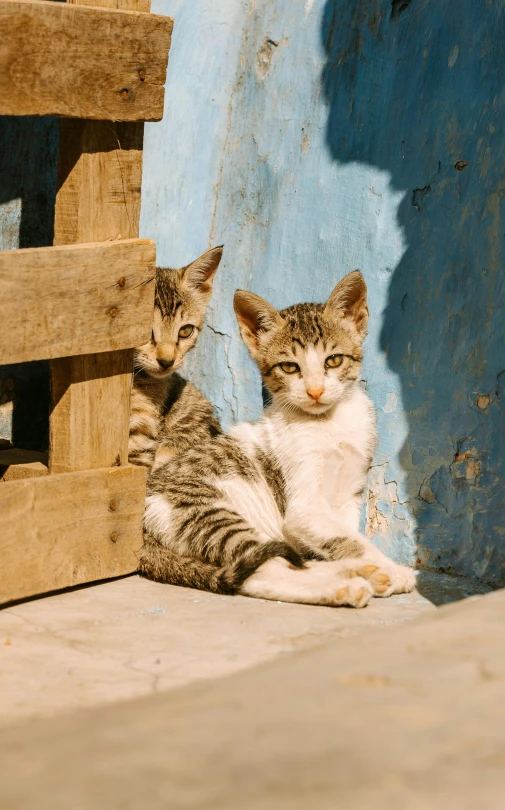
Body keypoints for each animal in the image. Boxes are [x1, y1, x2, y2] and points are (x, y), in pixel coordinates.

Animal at [129, 246, 414, 608]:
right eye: (290, 367)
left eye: (333, 360)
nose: (315, 391)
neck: (328, 423)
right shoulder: (303, 509)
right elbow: (350, 540)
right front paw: (391, 568)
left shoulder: (349, 495)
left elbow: (347, 536)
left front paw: (372, 564)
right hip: (212, 515)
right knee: (263, 571)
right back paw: (348, 585)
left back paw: (357, 575)